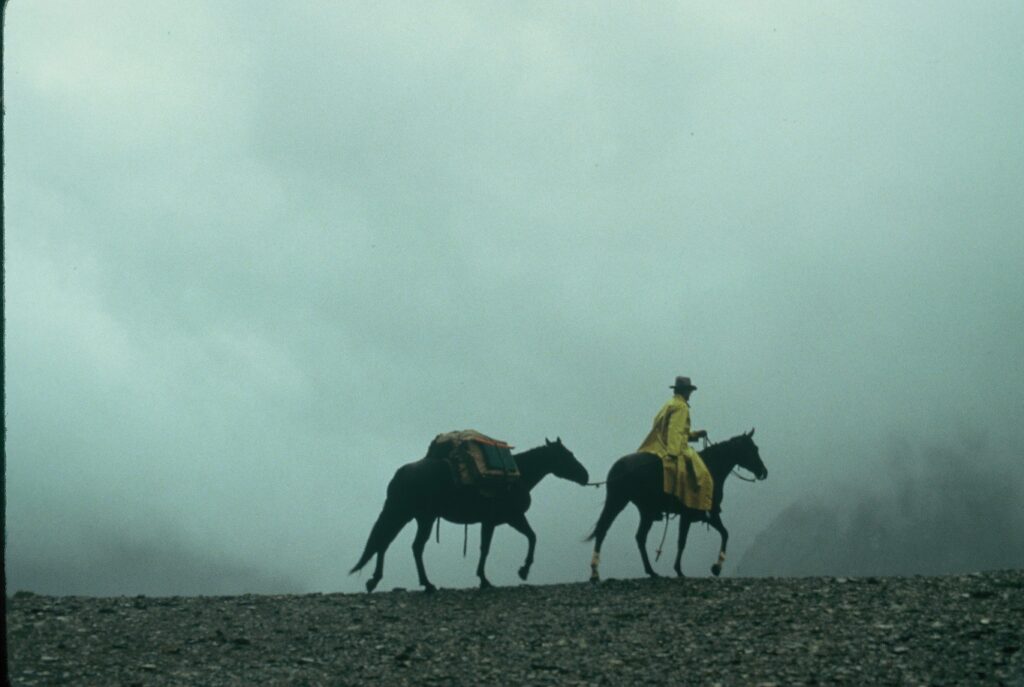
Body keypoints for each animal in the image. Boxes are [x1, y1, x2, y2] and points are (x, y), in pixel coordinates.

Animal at [589, 430, 765, 581]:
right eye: (753, 449)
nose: (764, 472)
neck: (710, 468)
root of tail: (618, 466)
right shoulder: (694, 514)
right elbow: (684, 541)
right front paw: (684, 570)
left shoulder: (708, 514)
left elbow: (723, 533)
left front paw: (715, 567)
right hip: (628, 505)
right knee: (613, 532)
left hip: (636, 508)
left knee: (631, 535)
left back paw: (645, 571)